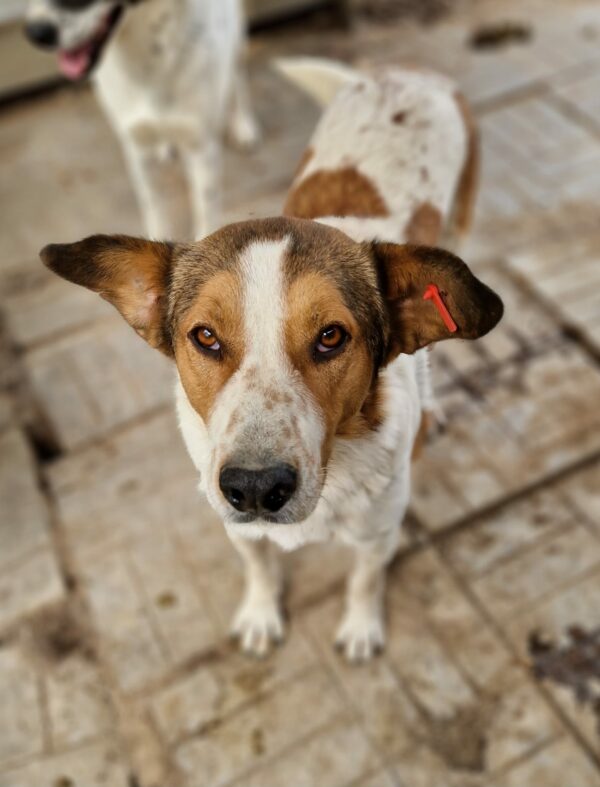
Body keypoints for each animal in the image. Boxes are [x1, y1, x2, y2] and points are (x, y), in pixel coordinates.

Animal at [24, 0, 258, 237]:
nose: (35, 33)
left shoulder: (201, 147)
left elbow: (206, 211)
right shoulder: (136, 147)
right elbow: (153, 204)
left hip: (237, 41)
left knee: (238, 75)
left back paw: (243, 125)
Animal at [39, 61, 504, 660]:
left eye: (331, 336)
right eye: (205, 336)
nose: (256, 489)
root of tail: (404, 72)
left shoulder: (380, 531)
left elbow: (364, 579)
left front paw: (361, 627)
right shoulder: (234, 523)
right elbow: (259, 566)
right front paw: (260, 614)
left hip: (460, 227)